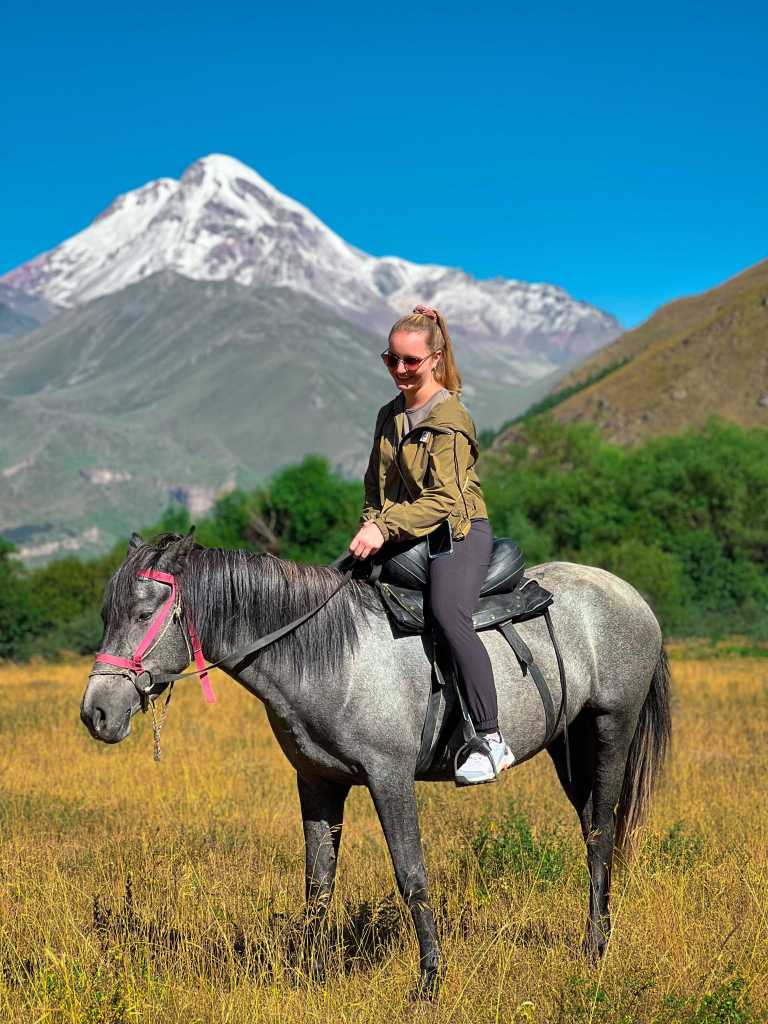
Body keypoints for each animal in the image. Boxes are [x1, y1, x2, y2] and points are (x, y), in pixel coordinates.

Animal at [80, 530, 671, 1000]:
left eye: (142, 614)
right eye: (105, 615)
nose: (96, 713)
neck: (328, 654)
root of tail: (630, 596)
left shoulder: (390, 780)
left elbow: (411, 875)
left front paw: (429, 981)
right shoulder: (317, 782)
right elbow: (318, 880)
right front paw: (309, 974)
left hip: (610, 730)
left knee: (602, 831)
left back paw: (595, 946)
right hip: (568, 745)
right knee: (591, 827)